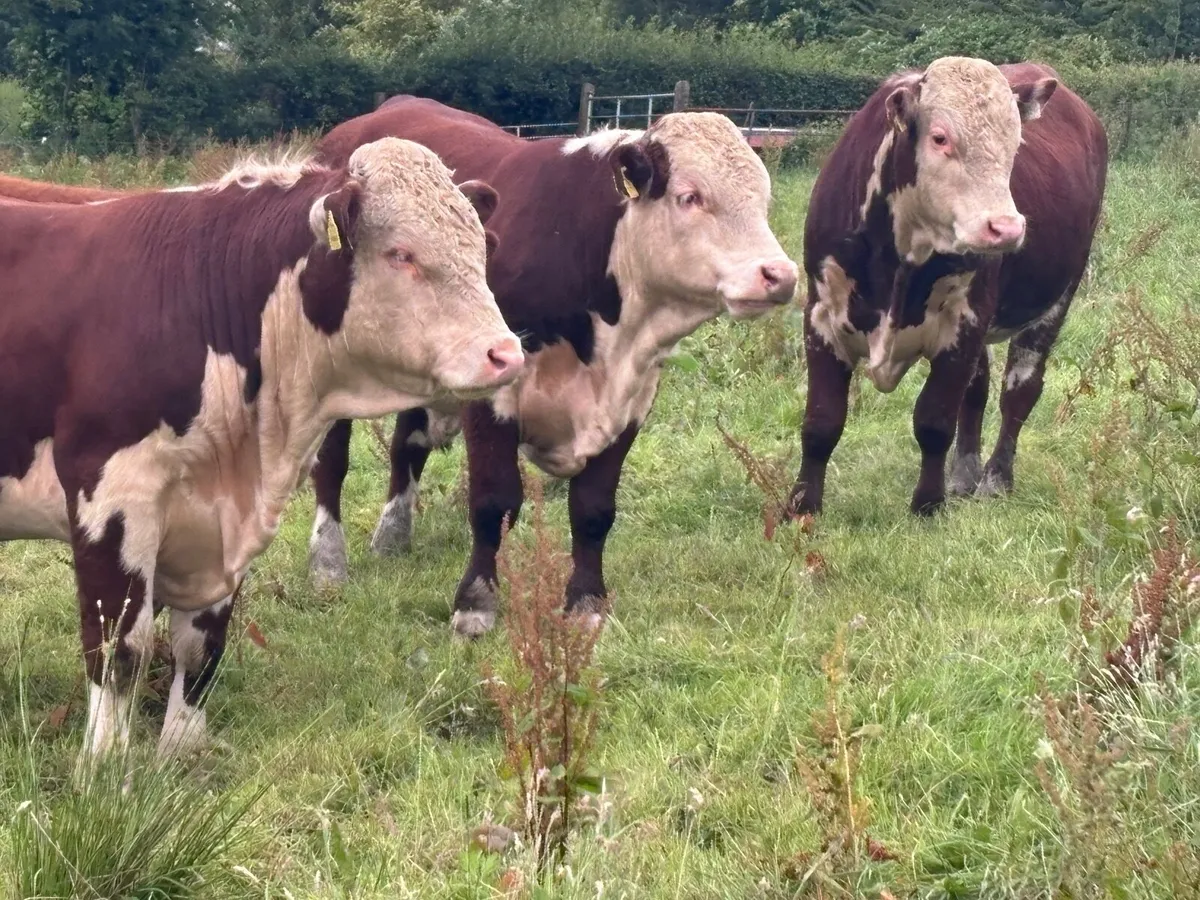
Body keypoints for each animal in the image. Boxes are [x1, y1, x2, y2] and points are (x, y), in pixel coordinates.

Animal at [0, 137, 523, 771]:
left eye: (481, 246)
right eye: (402, 254)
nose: (506, 354)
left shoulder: (222, 526)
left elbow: (200, 648)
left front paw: (183, 756)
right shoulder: (111, 493)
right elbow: (118, 648)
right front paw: (103, 770)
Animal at [306, 98, 800, 637]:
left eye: (763, 201)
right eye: (691, 197)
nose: (779, 275)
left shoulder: (633, 398)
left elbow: (593, 509)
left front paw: (586, 602)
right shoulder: (494, 389)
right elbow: (494, 501)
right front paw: (475, 603)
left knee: (407, 445)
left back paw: (393, 534)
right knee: (332, 461)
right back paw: (327, 563)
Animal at [788, 57, 1107, 517]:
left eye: (1016, 143)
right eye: (940, 137)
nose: (1006, 228)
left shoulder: (964, 321)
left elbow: (935, 420)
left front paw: (927, 503)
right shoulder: (821, 315)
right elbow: (821, 420)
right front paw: (801, 506)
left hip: (1056, 298)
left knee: (1018, 392)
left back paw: (995, 478)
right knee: (976, 392)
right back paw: (963, 474)